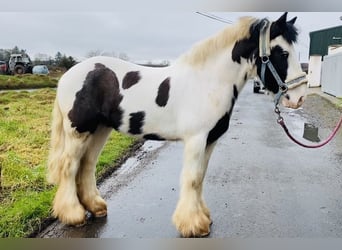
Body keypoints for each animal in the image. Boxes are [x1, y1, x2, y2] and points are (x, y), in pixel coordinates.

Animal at [47, 12, 308, 237]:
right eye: (282, 53)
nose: (299, 98)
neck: (208, 82)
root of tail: (67, 75)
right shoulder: (196, 140)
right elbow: (191, 178)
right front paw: (194, 225)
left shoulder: (210, 140)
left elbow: (200, 178)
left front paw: (203, 217)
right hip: (79, 132)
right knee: (69, 167)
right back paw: (74, 215)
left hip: (100, 130)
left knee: (87, 165)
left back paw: (96, 207)